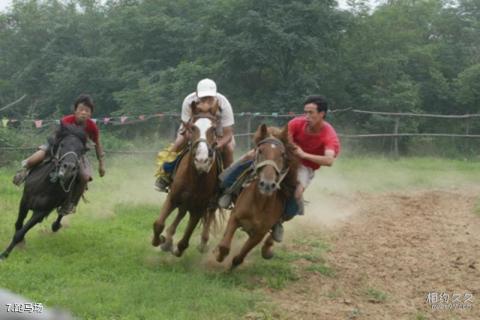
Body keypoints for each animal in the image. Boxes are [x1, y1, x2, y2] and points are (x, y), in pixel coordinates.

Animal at [151, 99, 222, 256]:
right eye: (193, 127)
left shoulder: (199, 208)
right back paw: (168, 239)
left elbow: (184, 242)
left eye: (213, 129)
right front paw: (160, 240)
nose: (202, 160)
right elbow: (158, 224)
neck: (195, 177)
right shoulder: (172, 197)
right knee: (181, 213)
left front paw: (174, 247)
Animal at [216, 124, 298, 268]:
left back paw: (268, 250)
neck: (259, 203)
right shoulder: (235, 217)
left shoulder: (259, 234)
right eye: (260, 151)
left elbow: (239, 257)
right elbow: (224, 246)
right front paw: (219, 256)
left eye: (282, 154)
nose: (267, 184)